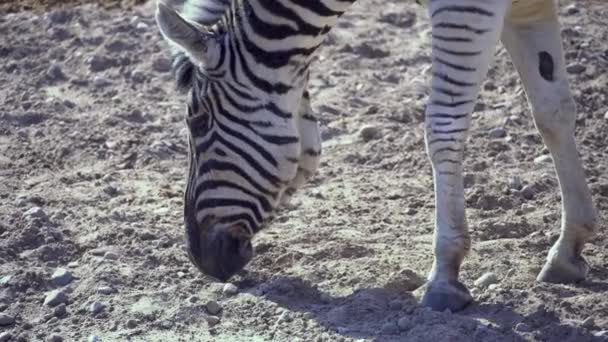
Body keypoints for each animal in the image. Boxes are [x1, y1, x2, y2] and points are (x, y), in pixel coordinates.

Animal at [156, 0, 600, 312]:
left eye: (198, 122)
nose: (199, 259)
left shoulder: (466, 8)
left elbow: (443, 128)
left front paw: (445, 274)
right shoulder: (526, 7)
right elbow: (552, 112)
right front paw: (568, 249)